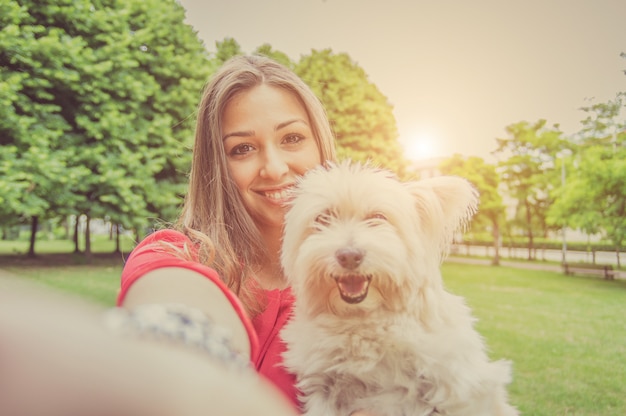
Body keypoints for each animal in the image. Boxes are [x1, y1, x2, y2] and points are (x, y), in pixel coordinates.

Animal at [280, 162, 520, 416]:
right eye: (323, 218)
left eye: (378, 217)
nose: (349, 256)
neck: (364, 320)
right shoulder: (323, 387)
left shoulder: (457, 388)